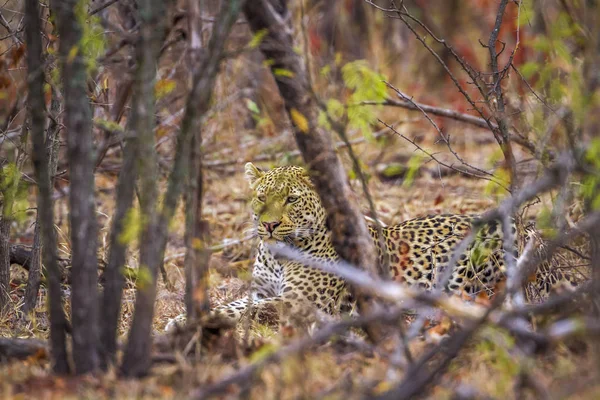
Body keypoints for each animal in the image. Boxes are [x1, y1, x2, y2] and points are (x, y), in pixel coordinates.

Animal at [166, 161, 548, 332]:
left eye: (291, 199)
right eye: (262, 197)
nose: (270, 225)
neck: (277, 254)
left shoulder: (299, 301)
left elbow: (245, 310)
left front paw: (189, 323)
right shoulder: (261, 290)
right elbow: (236, 303)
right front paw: (184, 317)